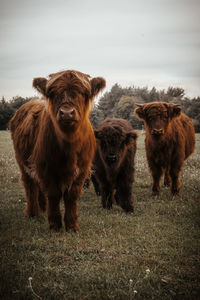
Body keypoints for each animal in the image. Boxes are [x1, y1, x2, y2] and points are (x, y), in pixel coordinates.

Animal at [9, 69, 106, 231]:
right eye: (53, 93)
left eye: (83, 92)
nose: (67, 113)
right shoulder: (47, 168)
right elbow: (53, 194)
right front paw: (55, 225)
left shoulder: (82, 170)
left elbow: (71, 195)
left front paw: (72, 225)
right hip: (22, 161)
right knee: (30, 185)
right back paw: (33, 213)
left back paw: (43, 207)